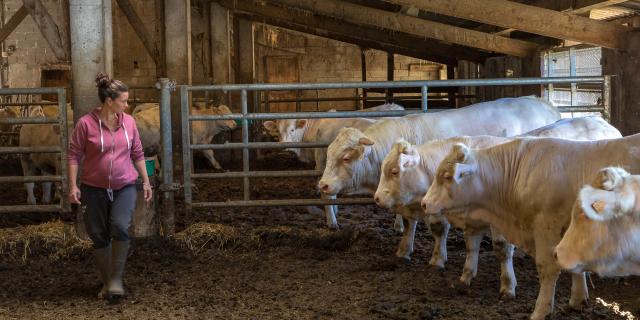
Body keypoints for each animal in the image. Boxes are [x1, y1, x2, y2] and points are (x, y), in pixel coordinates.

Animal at [318, 96, 560, 258]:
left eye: (346, 158)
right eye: (328, 153)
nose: (323, 184)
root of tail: (542, 103)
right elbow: (410, 221)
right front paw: (405, 249)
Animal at [376, 118, 620, 298]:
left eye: (394, 171)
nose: (377, 198)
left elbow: (502, 249)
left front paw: (508, 286)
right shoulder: (472, 221)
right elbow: (470, 245)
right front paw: (465, 276)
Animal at [420, 133, 640, 320]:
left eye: (447, 176)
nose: (424, 203)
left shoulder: (546, 226)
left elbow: (547, 268)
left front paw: (540, 310)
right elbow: (575, 265)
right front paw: (577, 300)